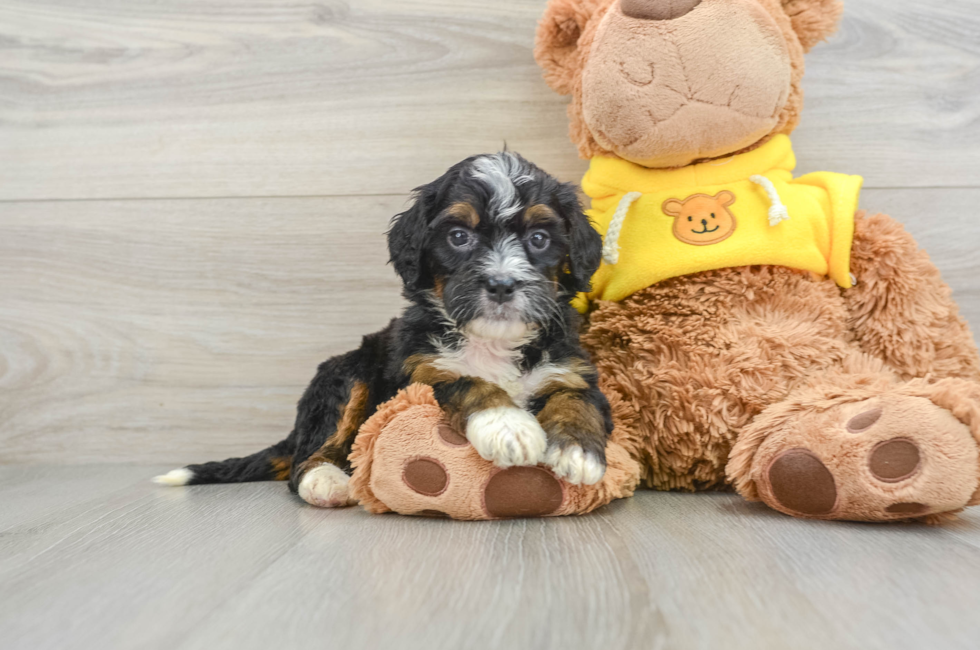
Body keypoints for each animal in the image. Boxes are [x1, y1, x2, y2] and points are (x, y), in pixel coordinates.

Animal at [155, 153, 612, 506]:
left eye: (539, 238)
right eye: (458, 236)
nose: (501, 284)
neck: (493, 342)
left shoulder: (571, 370)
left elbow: (577, 400)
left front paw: (577, 452)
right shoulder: (417, 374)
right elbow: (466, 381)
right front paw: (508, 426)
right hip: (346, 374)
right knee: (307, 456)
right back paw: (327, 481)